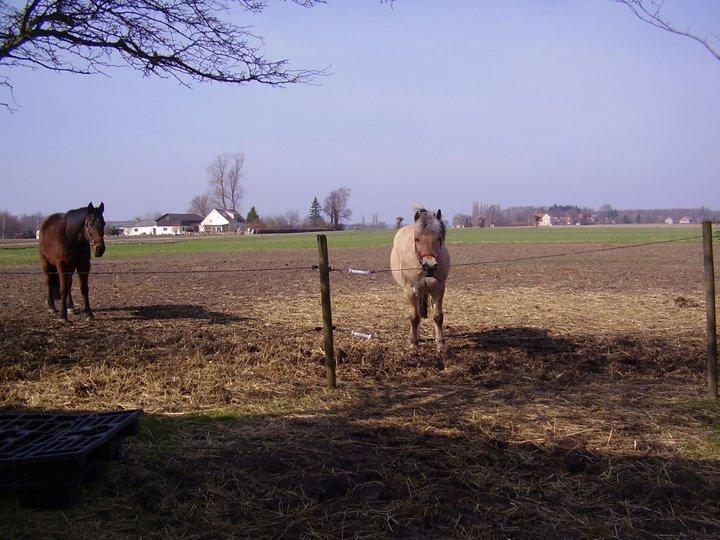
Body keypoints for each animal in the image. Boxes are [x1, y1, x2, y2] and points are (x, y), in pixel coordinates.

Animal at [388, 207, 450, 354]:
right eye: (417, 239)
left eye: (439, 238)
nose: (430, 266)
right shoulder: (410, 291)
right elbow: (414, 318)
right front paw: (414, 343)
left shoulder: (439, 289)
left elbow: (438, 317)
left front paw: (440, 344)